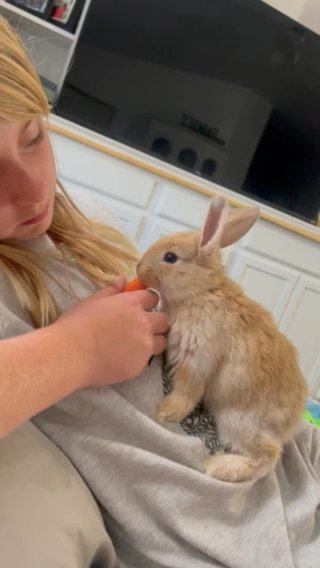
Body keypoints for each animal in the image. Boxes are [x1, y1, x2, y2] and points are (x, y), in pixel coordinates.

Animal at [137, 197, 308, 482]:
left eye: (170, 257)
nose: (139, 270)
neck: (200, 292)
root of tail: (290, 423)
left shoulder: (196, 358)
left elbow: (188, 391)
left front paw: (165, 412)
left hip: (237, 421)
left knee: (267, 457)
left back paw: (219, 467)